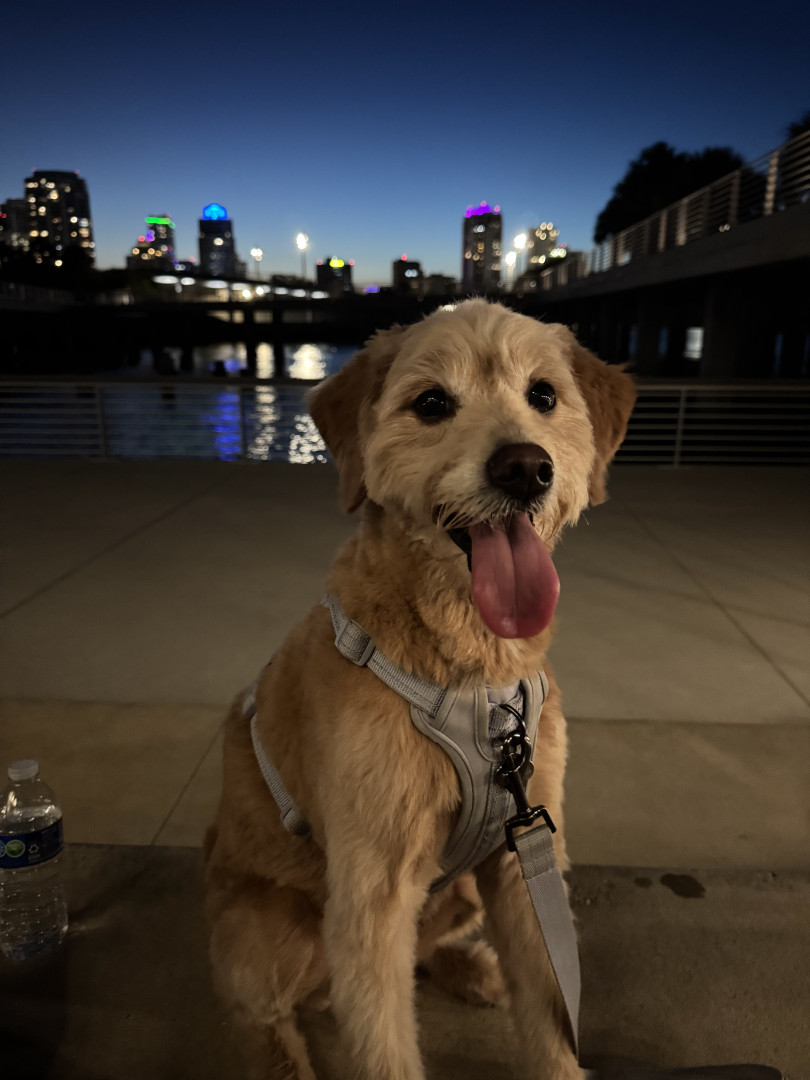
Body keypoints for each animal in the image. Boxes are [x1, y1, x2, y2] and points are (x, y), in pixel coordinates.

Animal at [204, 299, 636, 1080]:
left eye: (544, 395)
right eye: (431, 403)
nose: (525, 467)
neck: (473, 670)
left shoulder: (527, 854)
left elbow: (550, 1014)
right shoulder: (372, 895)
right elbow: (383, 1045)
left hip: (461, 886)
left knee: (422, 956)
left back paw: (472, 969)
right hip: (265, 934)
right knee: (264, 1017)